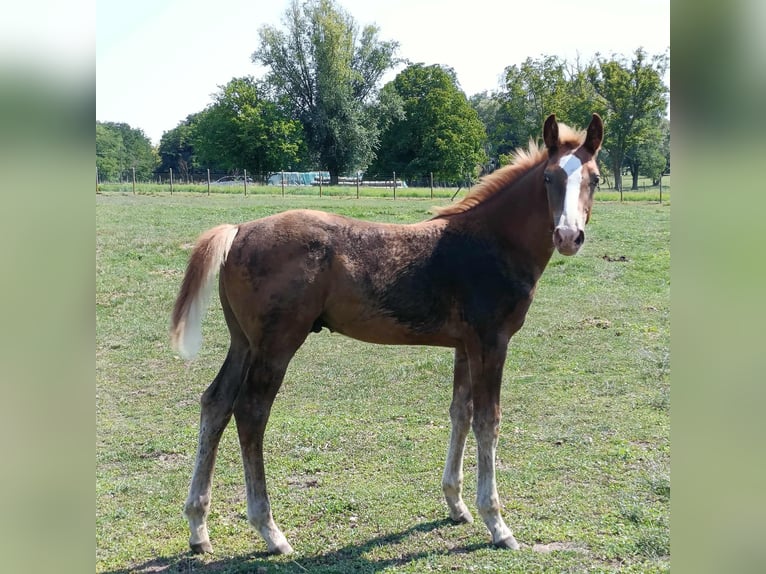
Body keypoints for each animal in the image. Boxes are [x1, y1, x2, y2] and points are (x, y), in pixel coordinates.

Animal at [170, 113, 604, 555]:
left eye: (595, 178)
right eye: (549, 177)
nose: (568, 236)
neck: (493, 242)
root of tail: (239, 229)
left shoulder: (465, 346)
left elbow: (460, 413)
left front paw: (456, 504)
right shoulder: (491, 341)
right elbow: (488, 421)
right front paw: (497, 524)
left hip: (244, 343)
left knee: (216, 403)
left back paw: (198, 527)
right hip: (276, 345)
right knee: (251, 412)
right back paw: (270, 531)